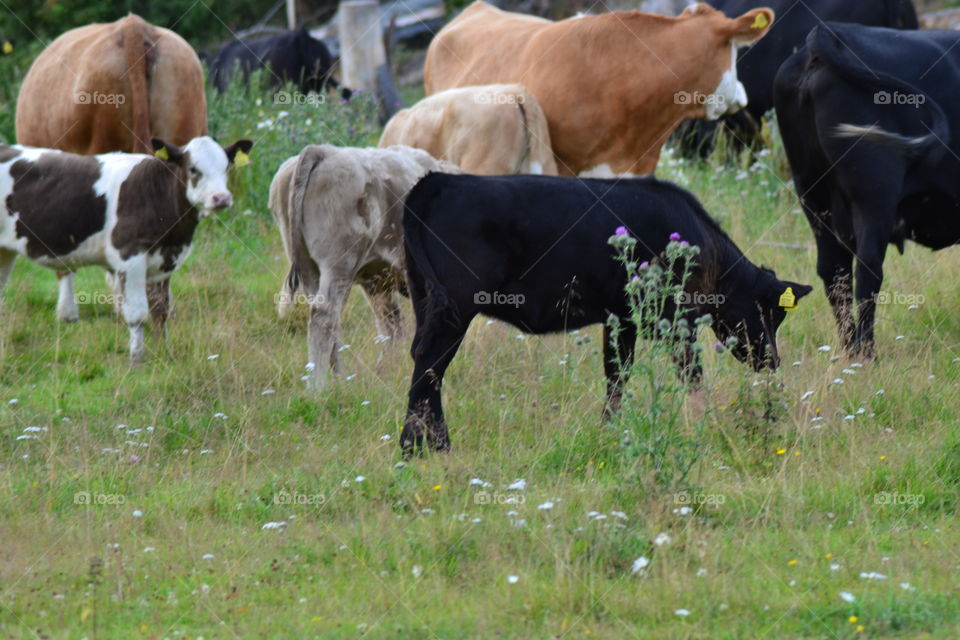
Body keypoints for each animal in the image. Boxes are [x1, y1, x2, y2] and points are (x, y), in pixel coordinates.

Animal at [0, 136, 252, 362]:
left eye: (226, 167)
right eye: (193, 169)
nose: (221, 198)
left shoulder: (166, 260)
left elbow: (161, 310)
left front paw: (165, 351)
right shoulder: (130, 256)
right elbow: (138, 313)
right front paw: (137, 357)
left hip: (5, 252)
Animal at [268, 145, 458, 390]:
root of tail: (324, 151)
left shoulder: (377, 283)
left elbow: (392, 326)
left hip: (309, 268)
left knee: (331, 321)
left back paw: (341, 381)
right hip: (338, 264)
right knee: (324, 315)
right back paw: (318, 387)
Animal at [400, 172, 812, 455]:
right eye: (772, 313)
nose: (772, 360)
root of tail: (439, 180)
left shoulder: (623, 318)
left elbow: (617, 375)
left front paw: (610, 431)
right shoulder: (674, 320)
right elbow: (690, 374)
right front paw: (703, 424)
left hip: (427, 302)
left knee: (424, 363)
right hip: (455, 309)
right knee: (430, 366)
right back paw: (423, 445)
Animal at [774, 23, 959, 356]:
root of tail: (831, 32)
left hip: (811, 189)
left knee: (834, 269)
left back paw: (850, 349)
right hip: (875, 191)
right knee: (868, 266)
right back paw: (866, 352)